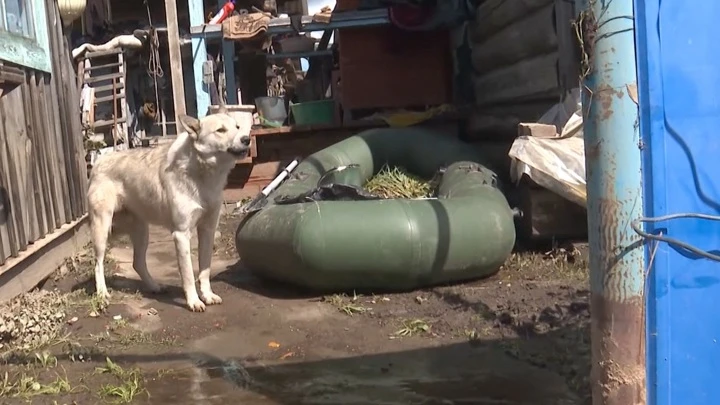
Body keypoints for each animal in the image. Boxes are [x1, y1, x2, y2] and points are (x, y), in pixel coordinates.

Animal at [87, 109, 252, 310]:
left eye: (237, 127)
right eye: (221, 130)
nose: (246, 139)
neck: (202, 173)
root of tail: (98, 162)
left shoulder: (208, 230)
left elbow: (204, 269)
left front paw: (207, 295)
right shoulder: (181, 235)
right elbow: (188, 273)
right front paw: (194, 302)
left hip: (142, 232)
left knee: (137, 263)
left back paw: (154, 287)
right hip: (102, 230)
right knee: (98, 263)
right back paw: (102, 294)